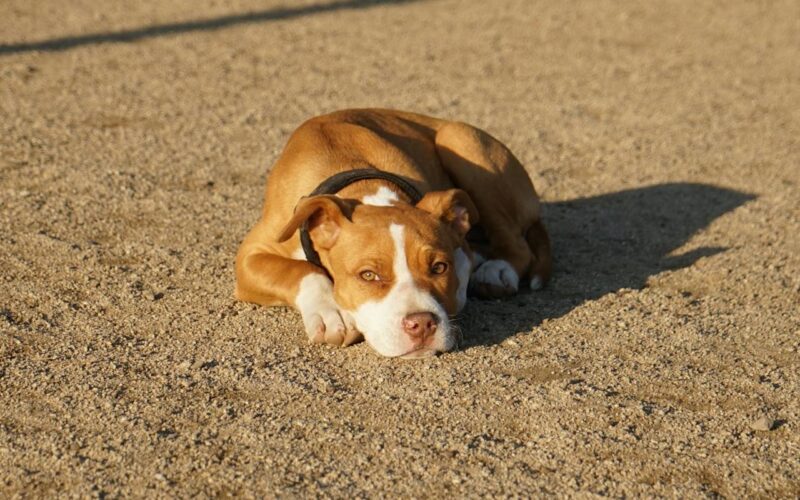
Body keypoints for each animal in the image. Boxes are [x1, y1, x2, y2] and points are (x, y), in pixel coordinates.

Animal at [234, 109, 552, 358]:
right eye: (368, 275)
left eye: (439, 267)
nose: (422, 324)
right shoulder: (249, 257)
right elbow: (298, 270)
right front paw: (330, 311)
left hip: (460, 141)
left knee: (516, 243)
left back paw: (496, 271)